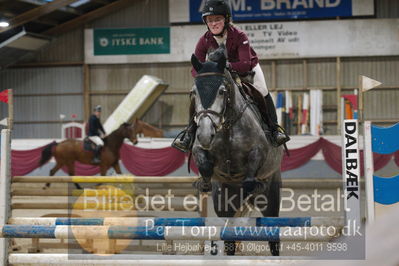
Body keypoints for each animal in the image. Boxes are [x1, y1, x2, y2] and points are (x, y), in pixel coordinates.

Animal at [191, 49, 282, 256]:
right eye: (194, 93)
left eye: (221, 91)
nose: (205, 133)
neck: (227, 127)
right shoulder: (200, 149)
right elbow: (204, 162)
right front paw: (204, 183)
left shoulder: (259, 151)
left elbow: (250, 174)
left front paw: (253, 185)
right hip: (224, 205)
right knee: (229, 237)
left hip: (271, 201)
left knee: (273, 237)